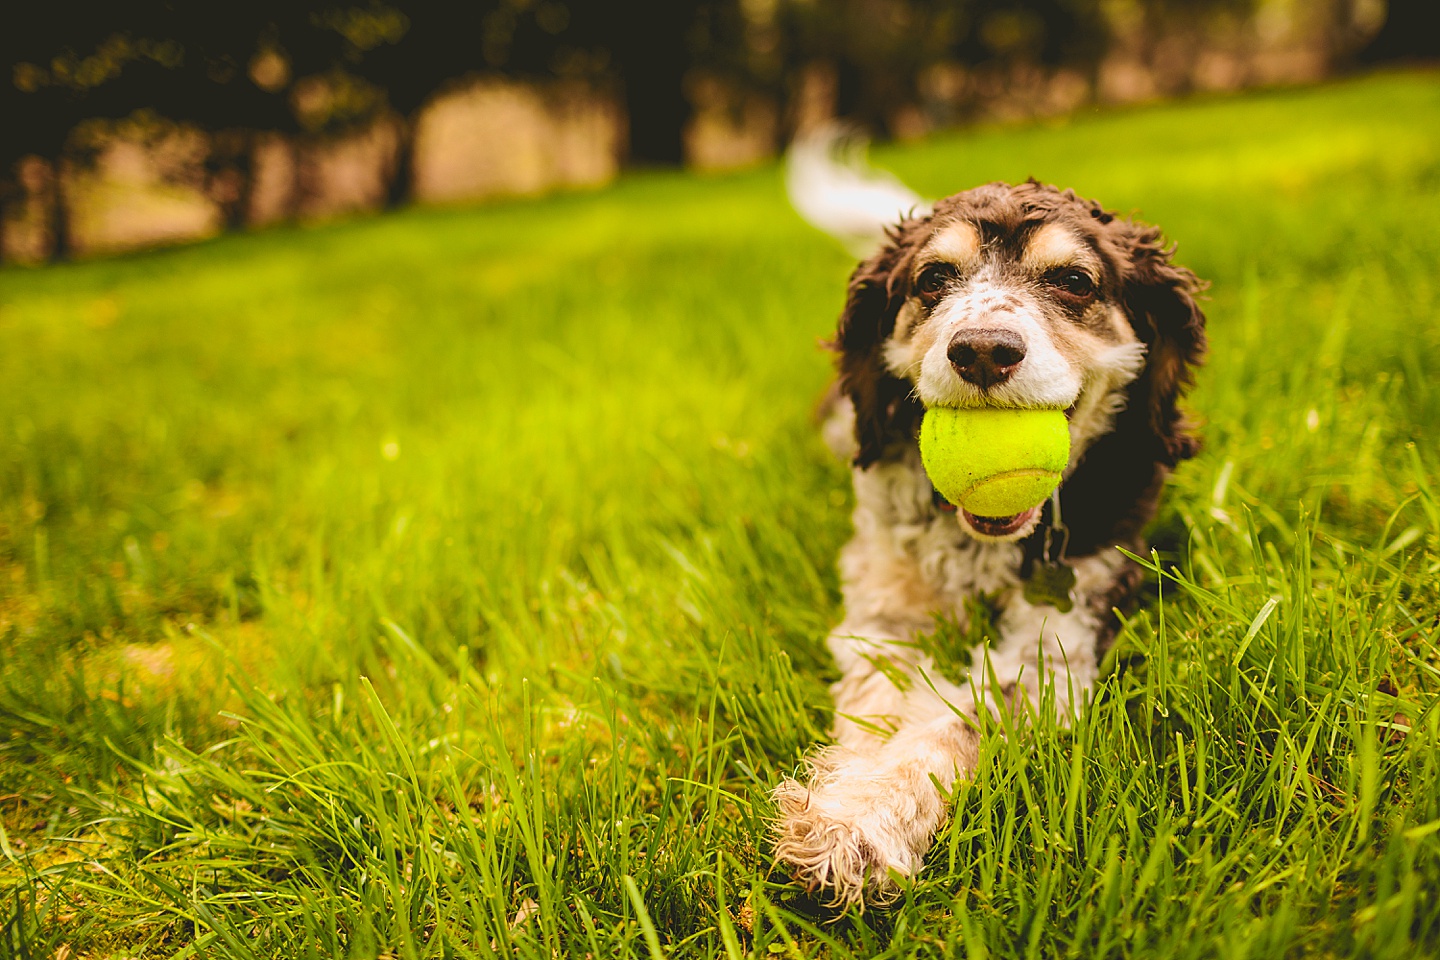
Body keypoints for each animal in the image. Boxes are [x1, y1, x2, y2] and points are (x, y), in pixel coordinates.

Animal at [777, 131, 1203, 903]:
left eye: (1075, 281)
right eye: (934, 278)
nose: (981, 349)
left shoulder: (1060, 645)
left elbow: (959, 715)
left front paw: (863, 816)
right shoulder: (882, 611)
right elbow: (879, 694)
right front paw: (853, 791)